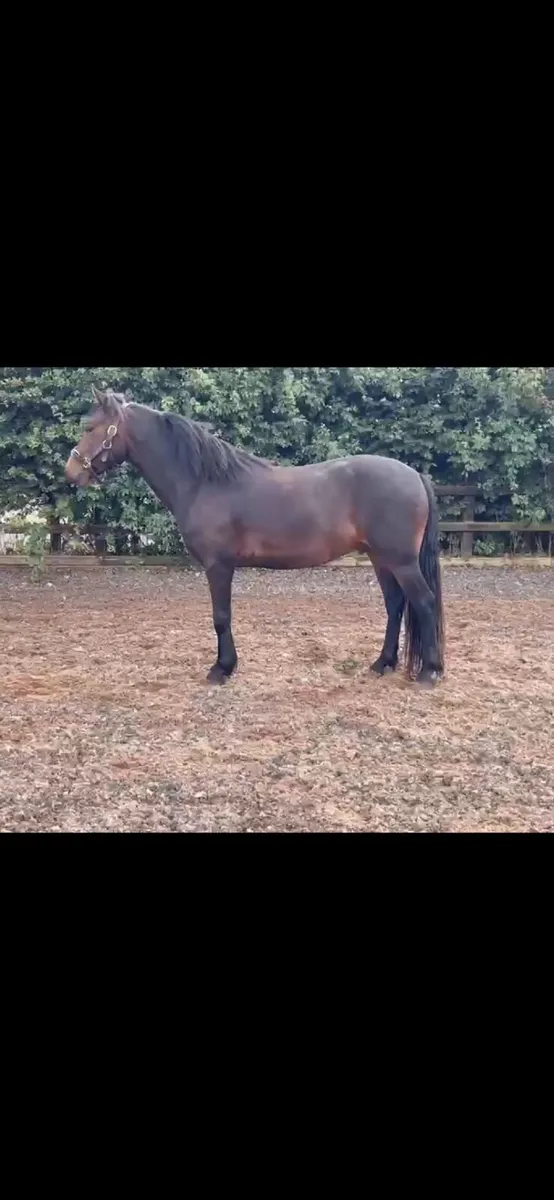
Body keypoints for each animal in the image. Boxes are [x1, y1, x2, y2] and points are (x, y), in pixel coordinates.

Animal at [66, 386, 445, 686]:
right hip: (381, 559)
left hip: (401, 561)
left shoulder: (218, 566)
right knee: (395, 605)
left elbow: (221, 617)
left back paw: (430, 672)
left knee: (424, 603)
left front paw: (222, 669)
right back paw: (383, 664)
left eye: (90, 427)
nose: (71, 472)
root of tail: (414, 474)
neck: (206, 482)